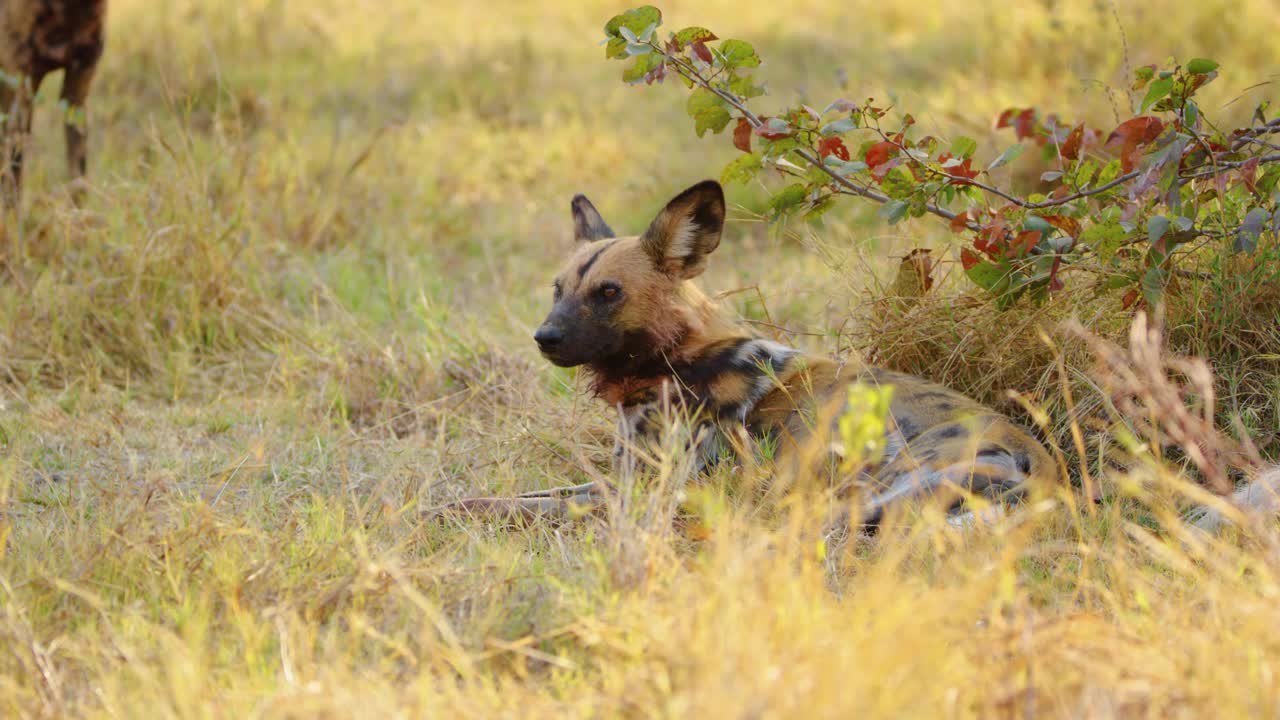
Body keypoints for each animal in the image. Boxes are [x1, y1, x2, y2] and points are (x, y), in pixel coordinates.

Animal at [450, 179, 1059, 527]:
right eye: (558, 289)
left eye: (608, 292)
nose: (544, 337)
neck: (673, 359)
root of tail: (1045, 463)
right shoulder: (619, 479)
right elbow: (498, 495)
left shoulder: (646, 494)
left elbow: (515, 504)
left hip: (867, 494)